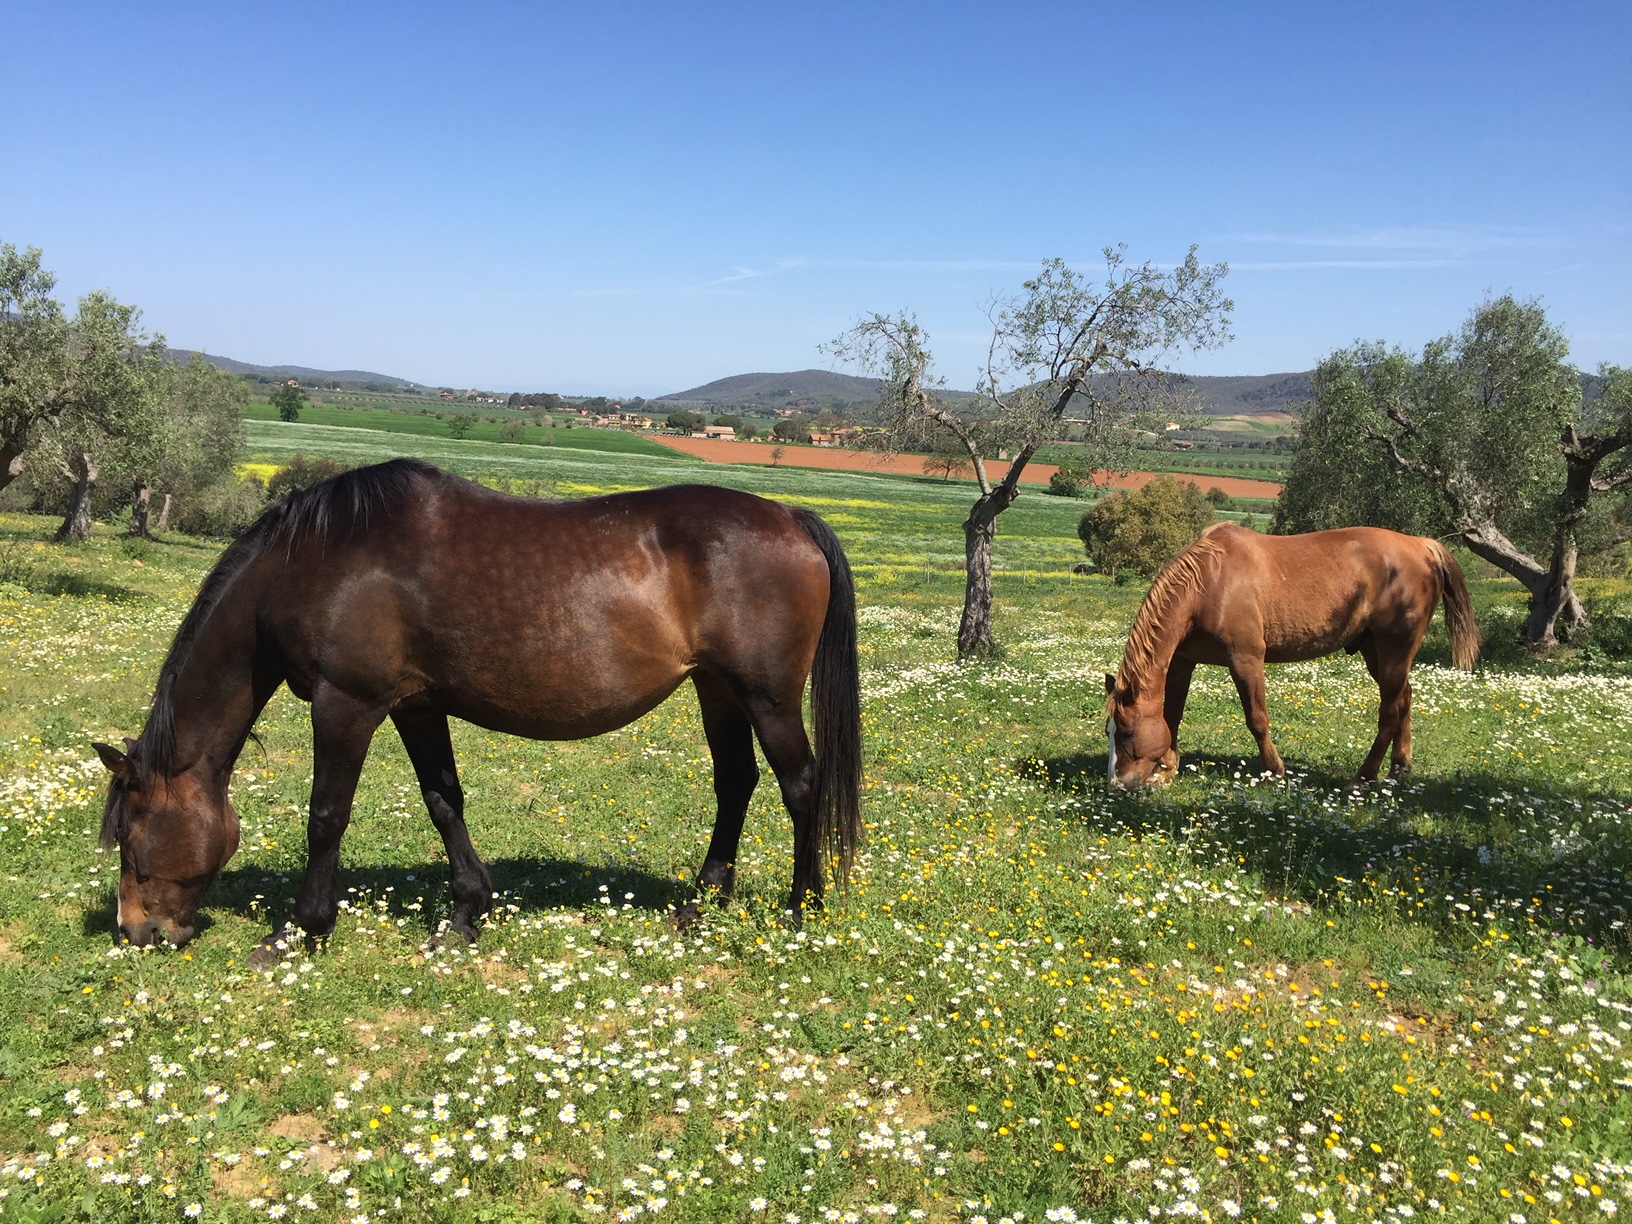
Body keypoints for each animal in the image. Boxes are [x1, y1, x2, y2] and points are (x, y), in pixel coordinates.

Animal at [93, 460, 868, 946]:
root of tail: (790, 516)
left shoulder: (348, 703)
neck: (311, 563)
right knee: (735, 782)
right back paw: (701, 903)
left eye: (130, 837)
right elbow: (444, 800)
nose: (138, 932)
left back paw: (802, 907)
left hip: (767, 695)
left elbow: (325, 816)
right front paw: (468, 912)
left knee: (801, 786)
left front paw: (302, 930)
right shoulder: (414, 704)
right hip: (717, 689)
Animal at [1109, 522, 1481, 789]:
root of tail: (1425, 546)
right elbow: (1172, 715)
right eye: (1108, 731)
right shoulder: (1183, 661)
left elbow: (1257, 719)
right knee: (1404, 697)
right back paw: (1399, 769)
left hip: (1394, 649)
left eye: (1126, 732)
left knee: (1390, 711)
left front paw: (1275, 771)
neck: (1209, 582)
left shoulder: (1246, 660)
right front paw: (1166, 771)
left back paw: (1362, 778)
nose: (1118, 783)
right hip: (1376, 651)